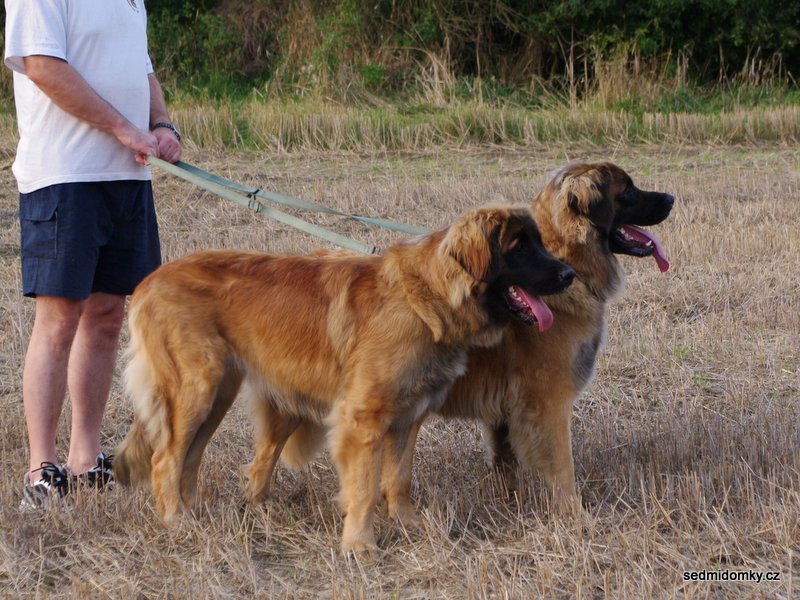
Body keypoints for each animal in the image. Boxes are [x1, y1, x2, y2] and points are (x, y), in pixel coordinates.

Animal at [113, 205, 575, 552]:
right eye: (519, 247)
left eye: (539, 242)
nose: (569, 274)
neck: (424, 297)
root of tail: (149, 281)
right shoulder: (363, 419)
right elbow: (365, 487)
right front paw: (359, 544)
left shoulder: (408, 418)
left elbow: (398, 478)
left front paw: (407, 524)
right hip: (196, 388)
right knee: (165, 459)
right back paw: (177, 521)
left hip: (216, 395)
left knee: (190, 457)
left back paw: (196, 514)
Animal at [379, 162, 674, 516]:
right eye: (628, 190)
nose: (671, 198)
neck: (568, 261)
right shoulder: (549, 404)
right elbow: (562, 467)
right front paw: (574, 516)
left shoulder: (503, 412)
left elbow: (505, 464)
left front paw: (507, 504)